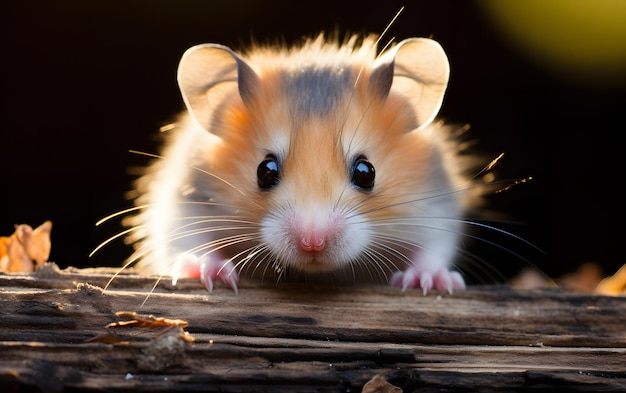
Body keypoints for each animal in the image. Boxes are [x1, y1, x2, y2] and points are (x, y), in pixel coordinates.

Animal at [123, 33, 482, 292]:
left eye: (366, 172)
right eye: (265, 171)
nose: (313, 243)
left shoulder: (436, 208)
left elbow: (433, 249)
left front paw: (432, 282)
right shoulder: (181, 203)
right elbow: (183, 242)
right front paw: (207, 271)